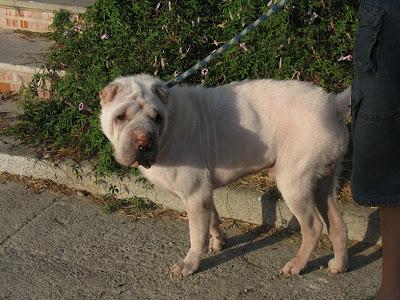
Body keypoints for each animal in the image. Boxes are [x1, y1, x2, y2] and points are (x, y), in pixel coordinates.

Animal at [100, 74, 350, 278]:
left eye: (157, 118)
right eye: (120, 117)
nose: (144, 144)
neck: (171, 123)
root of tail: (332, 104)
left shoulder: (194, 193)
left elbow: (196, 234)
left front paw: (189, 264)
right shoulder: (203, 192)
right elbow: (212, 218)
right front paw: (219, 240)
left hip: (294, 182)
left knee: (314, 226)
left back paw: (296, 265)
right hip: (324, 182)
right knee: (337, 224)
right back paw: (339, 265)